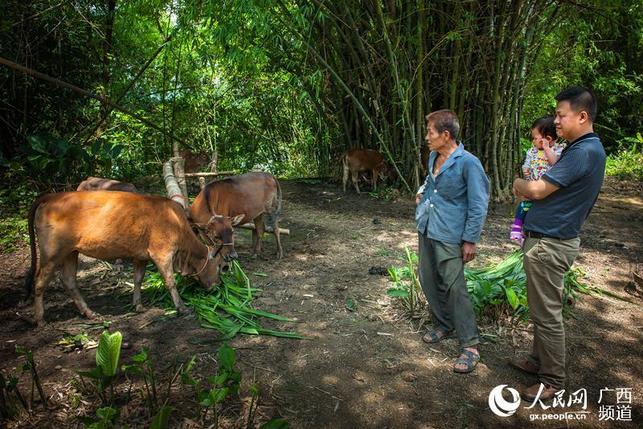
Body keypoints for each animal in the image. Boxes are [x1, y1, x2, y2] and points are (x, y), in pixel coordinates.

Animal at [25, 189, 226, 326]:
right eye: (220, 266)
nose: (217, 286)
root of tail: (52, 196)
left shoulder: (141, 256)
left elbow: (138, 279)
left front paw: (138, 305)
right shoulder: (162, 253)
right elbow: (170, 281)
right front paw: (181, 307)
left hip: (71, 252)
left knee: (68, 280)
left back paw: (90, 313)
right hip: (52, 253)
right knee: (40, 282)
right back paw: (40, 319)